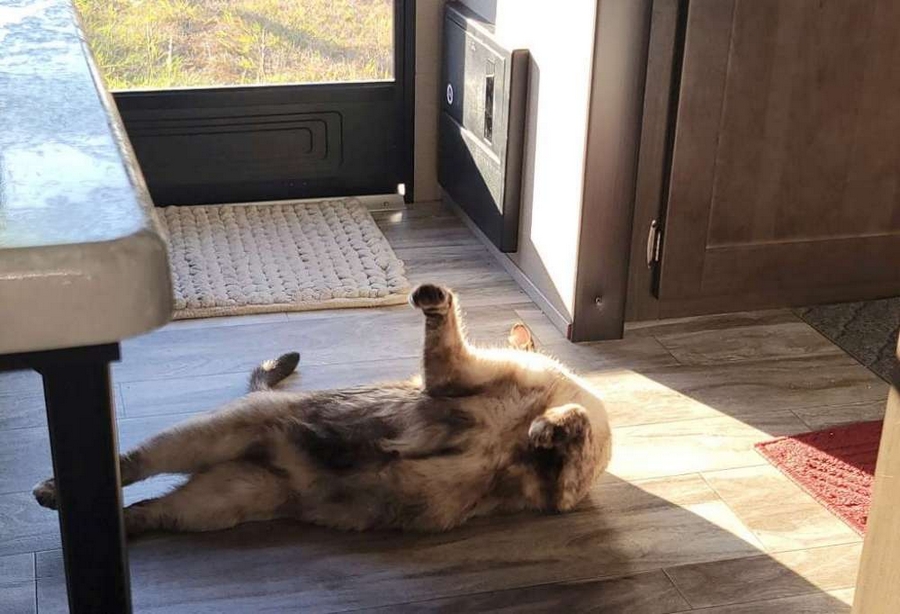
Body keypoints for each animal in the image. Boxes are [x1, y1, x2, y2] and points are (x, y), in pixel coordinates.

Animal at [33, 284, 612, 536]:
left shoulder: (556, 492)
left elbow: (574, 428)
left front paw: (548, 426)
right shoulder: (455, 377)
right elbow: (445, 319)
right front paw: (548, 423)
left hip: (220, 502)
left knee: (147, 510)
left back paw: (96, 521)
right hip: (210, 437)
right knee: (133, 463)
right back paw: (53, 492)